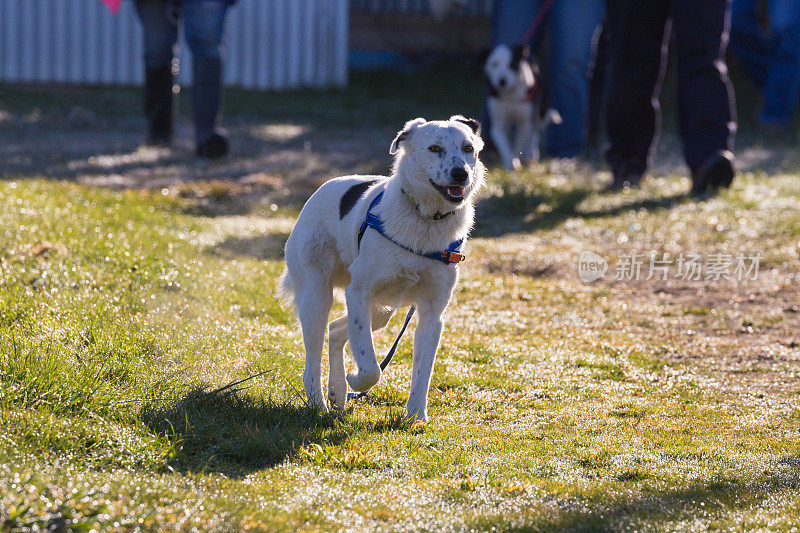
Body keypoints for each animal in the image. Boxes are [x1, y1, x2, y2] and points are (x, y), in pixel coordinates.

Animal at [278, 115, 484, 420]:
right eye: (435, 148)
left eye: (468, 148)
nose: (461, 174)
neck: (425, 219)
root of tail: (321, 189)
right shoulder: (358, 293)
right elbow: (370, 366)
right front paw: (356, 380)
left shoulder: (432, 314)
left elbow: (423, 371)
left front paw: (416, 418)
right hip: (317, 296)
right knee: (313, 357)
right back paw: (319, 403)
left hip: (382, 311)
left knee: (336, 330)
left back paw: (337, 391)